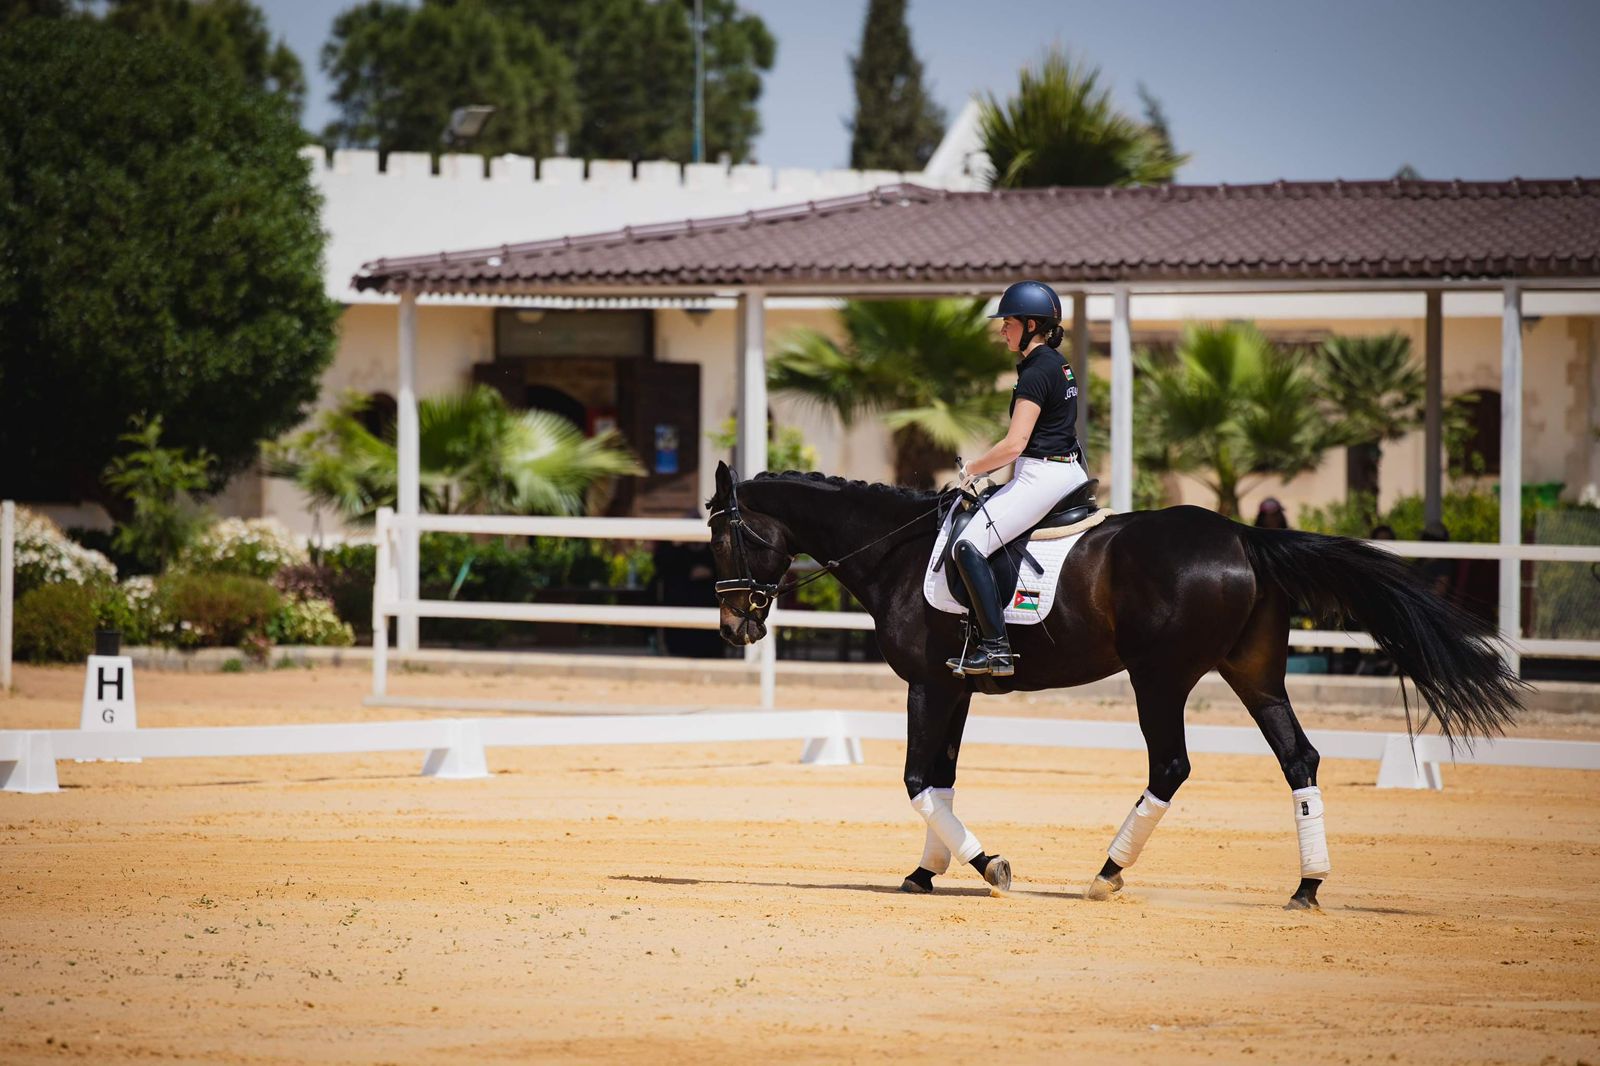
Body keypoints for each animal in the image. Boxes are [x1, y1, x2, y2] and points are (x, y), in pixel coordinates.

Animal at [713, 457, 1523, 902]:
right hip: (1255, 673)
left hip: (1158, 677)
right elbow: (940, 777)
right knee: (1299, 759)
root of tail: (1243, 536)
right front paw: (925, 873)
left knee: (1170, 765)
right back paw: (1307, 886)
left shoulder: (930, 686)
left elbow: (917, 779)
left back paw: (1106, 873)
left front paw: (988, 865)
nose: (733, 626)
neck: (899, 553)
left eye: (726, 534)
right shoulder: (959, 687)